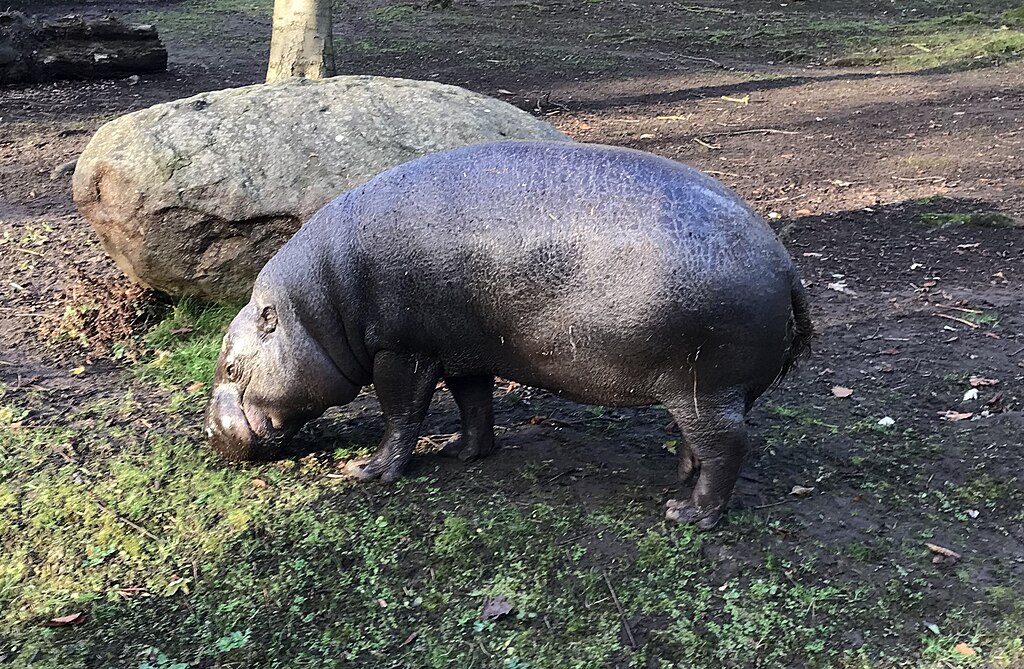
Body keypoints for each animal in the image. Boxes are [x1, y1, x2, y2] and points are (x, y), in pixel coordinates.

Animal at [205, 141, 812, 528]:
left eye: (232, 367)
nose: (210, 433)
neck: (316, 307)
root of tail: (785, 266)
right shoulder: (460, 349)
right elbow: (474, 402)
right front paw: (462, 452)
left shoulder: (401, 351)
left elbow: (401, 414)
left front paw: (367, 472)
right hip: (702, 392)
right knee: (702, 442)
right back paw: (681, 480)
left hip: (703, 387)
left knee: (729, 445)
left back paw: (689, 516)